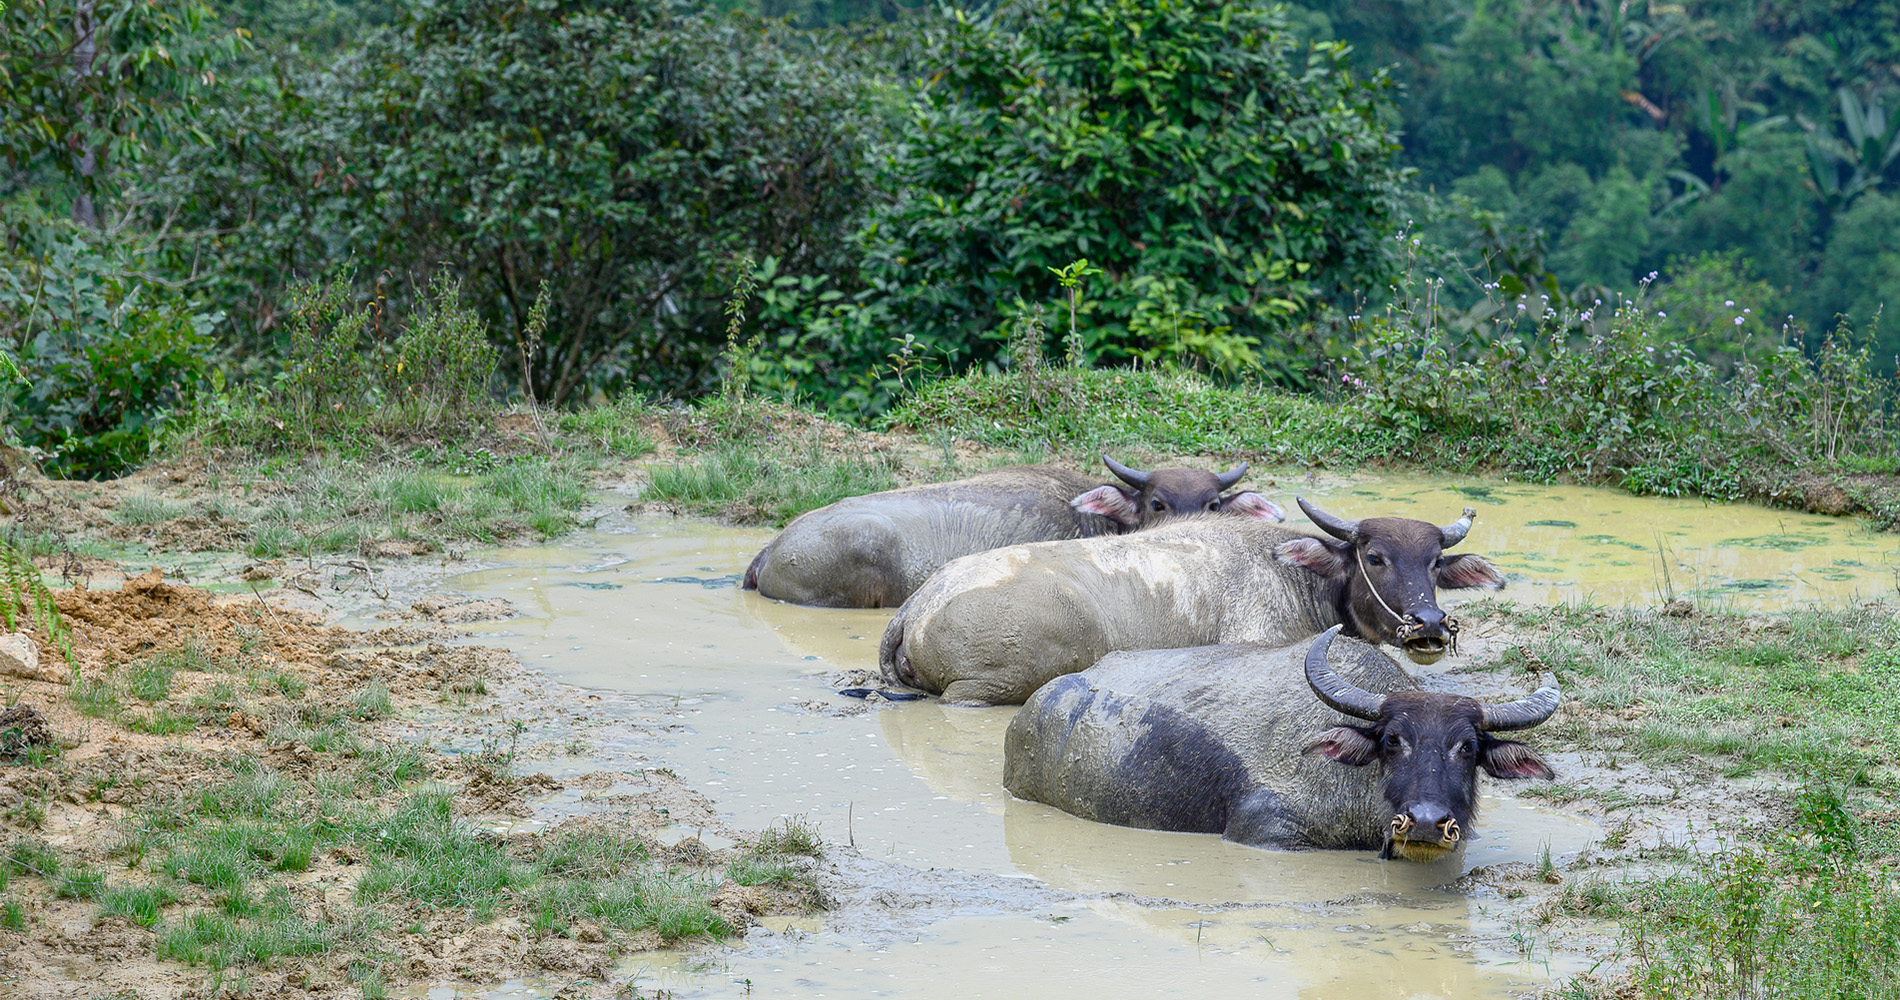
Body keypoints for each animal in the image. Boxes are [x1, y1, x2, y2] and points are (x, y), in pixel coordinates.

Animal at [874, 498, 1497, 707]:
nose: (1429, 624)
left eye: (1434, 561)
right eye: (1375, 557)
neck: (1295, 576)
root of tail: (916, 606)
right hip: (986, 688)